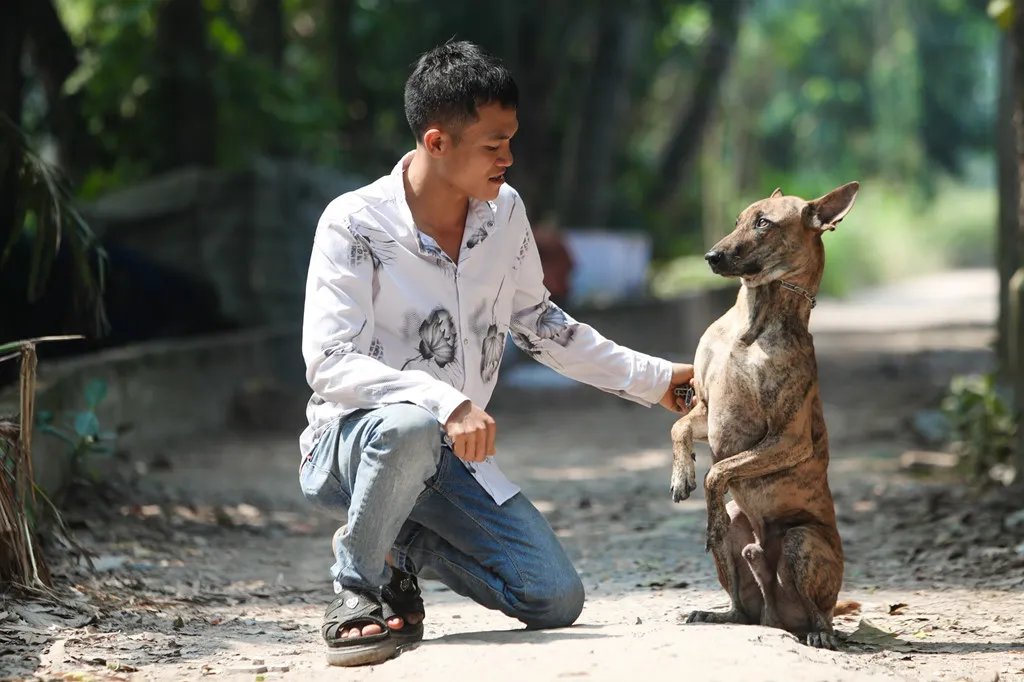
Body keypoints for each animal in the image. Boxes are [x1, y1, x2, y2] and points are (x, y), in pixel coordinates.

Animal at [667, 180, 860, 647]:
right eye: (739, 219)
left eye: (764, 223)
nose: (711, 256)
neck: (751, 324)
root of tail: (777, 618)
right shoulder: (705, 407)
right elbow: (677, 427)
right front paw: (681, 474)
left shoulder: (788, 438)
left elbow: (718, 473)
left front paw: (703, 493)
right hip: (739, 541)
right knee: (741, 607)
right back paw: (718, 611)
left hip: (802, 541)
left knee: (821, 614)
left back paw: (821, 634)